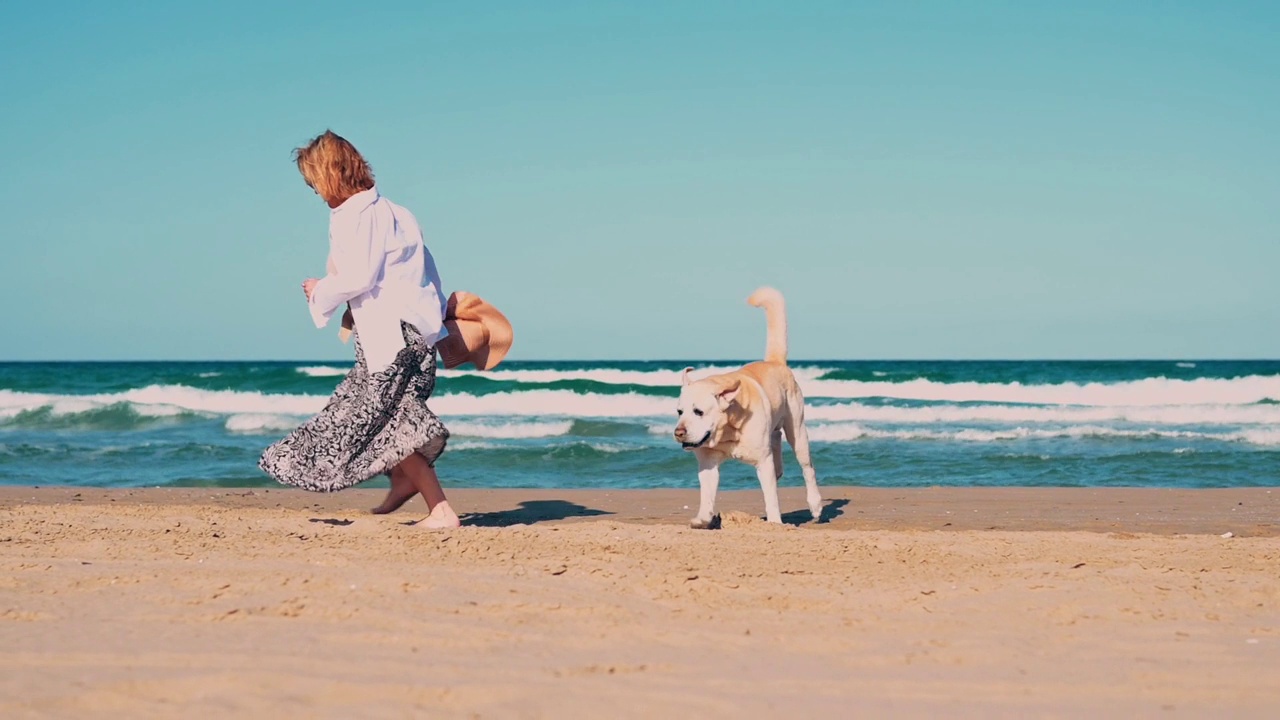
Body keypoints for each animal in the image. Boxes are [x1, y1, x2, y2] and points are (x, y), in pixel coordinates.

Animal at [675, 285, 824, 527]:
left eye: (699, 412)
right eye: (679, 411)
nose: (678, 433)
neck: (729, 430)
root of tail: (774, 361)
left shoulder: (763, 462)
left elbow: (771, 497)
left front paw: (775, 523)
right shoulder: (708, 463)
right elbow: (707, 496)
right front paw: (703, 519)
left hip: (798, 431)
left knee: (807, 467)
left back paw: (815, 504)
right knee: (775, 439)